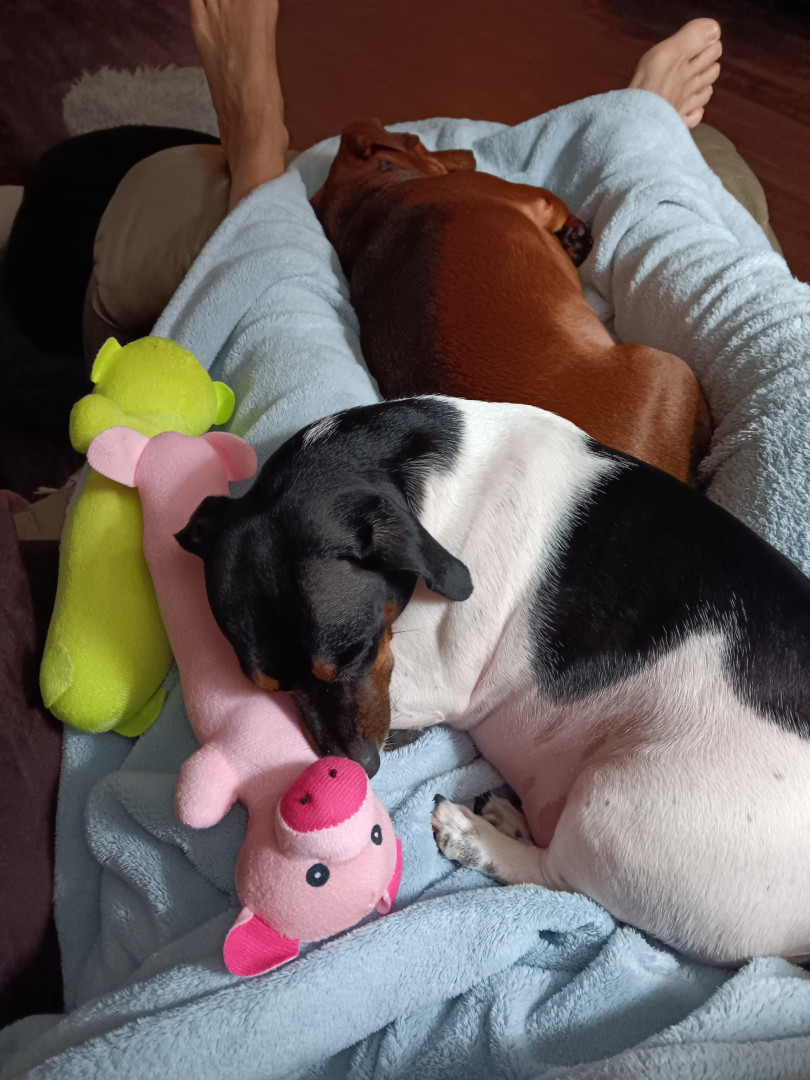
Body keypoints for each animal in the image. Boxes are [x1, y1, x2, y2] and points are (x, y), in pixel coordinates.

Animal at [177, 395, 810, 966]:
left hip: (615, 808)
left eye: (355, 651)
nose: (360, 766)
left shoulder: (436, 676)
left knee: (560, 881)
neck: (414, 478)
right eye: (268, 685)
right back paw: (505, 817)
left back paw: (473, 834)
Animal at [311, 120, 711, 484]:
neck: (368, 202)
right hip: (665, 367)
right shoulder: (533, 196)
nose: (470, 154)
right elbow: (555, 201)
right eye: (415, 140)